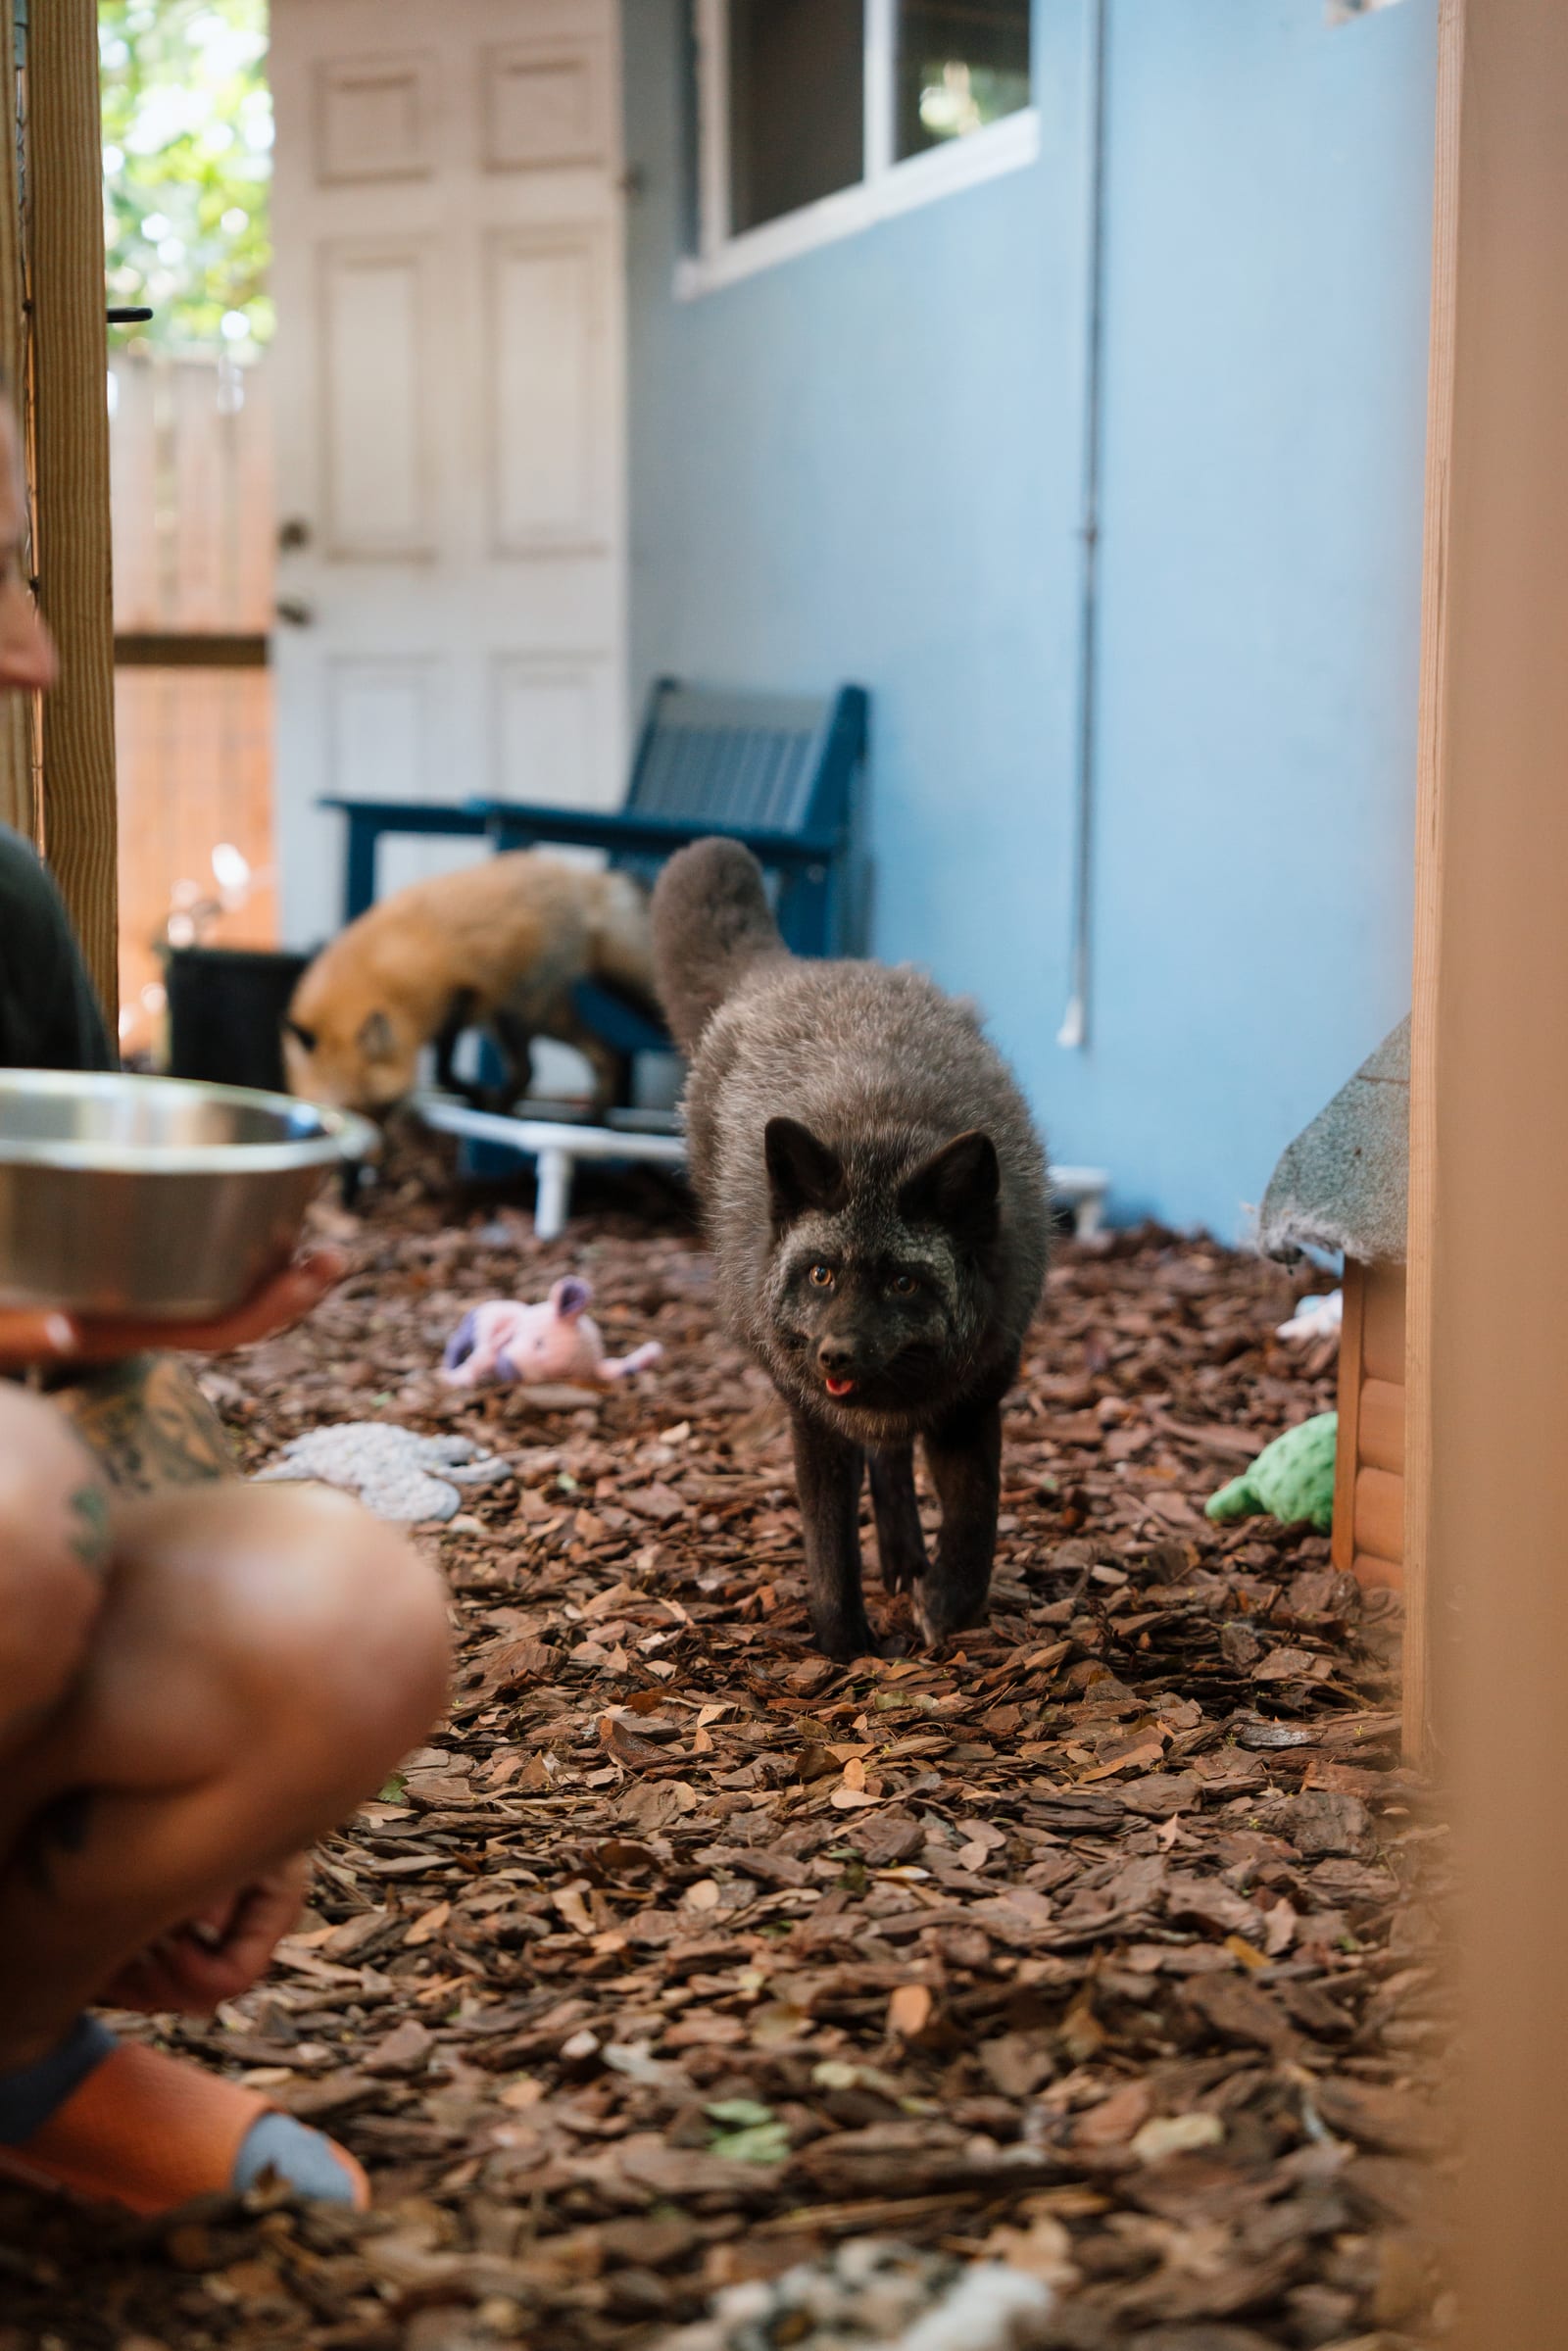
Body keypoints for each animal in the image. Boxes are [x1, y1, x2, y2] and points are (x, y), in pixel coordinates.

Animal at [282, 852, 659, 1114]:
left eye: (382, 1107)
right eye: (344, 1113)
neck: (378, 975)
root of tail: (580, 879)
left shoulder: (458, 995)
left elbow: (444, 1070)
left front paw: (473, 1092)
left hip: (520, 1015)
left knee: (533, 1069)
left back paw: (509, 1107)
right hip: (531, 1018)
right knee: (601, 1055)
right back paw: (593, 1118)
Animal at [652, 837, 1052, 1660]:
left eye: (903, 1282)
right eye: (820, 1273)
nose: (835, 1351)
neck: (881, 1135)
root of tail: (798, 967)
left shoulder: (974, 1401)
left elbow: (976, 1525)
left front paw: (947, 1601)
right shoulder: (813, 1416)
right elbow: (828, 1539)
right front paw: (842, 1643)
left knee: (893, 1458)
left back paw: (904, 1554)